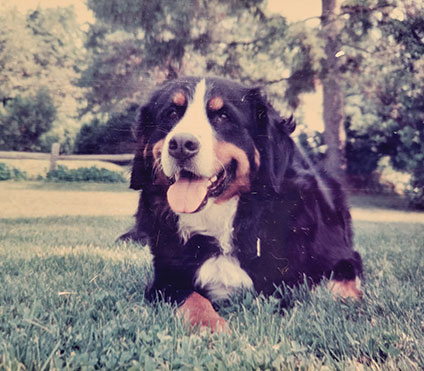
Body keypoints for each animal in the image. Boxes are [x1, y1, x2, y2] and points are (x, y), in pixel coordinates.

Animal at [121, 77, 362, 332]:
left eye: (223, 116)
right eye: (172, 113)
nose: (181, 144)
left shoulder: (341, 257)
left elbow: (341, 287)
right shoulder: (166, 279)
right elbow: (193, 299)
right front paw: (210, 325)